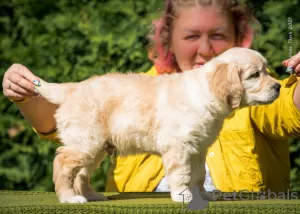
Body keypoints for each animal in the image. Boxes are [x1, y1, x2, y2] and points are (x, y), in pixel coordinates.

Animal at [34, 46, 280, 202]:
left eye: (266, 71)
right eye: (255, 75)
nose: (278, 86)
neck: (204, 93)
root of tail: (73, 88)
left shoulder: (198, 148)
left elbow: (199, 175)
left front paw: (203, 195)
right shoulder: (178, 146)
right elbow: (182, 174)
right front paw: (183, 196)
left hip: (95, 147)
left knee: (82, 173)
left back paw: (91, 196)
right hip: (86, 142)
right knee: (63, 164)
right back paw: (69, 198)